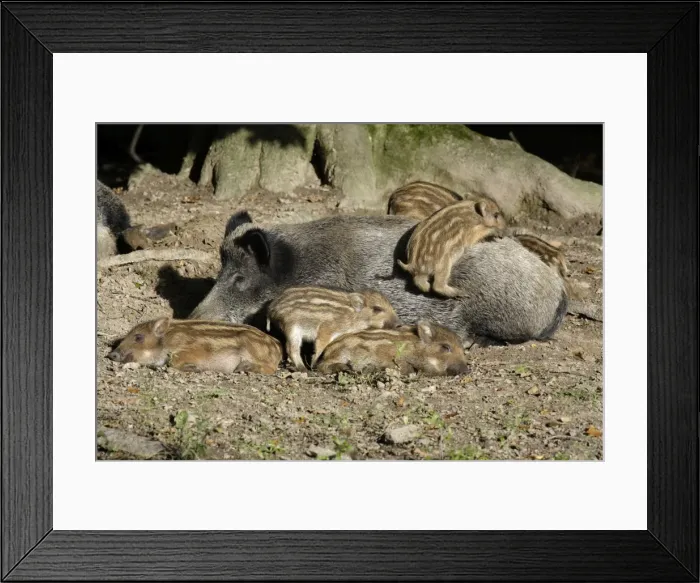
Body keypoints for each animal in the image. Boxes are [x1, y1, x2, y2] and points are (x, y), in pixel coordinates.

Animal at [107, 317, 283, 374]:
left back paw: (243, 368)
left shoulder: (191, 349)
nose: (111, 354)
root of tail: (277, 345)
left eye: (138, 337)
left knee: (271, 369)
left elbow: (175, 361)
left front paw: (195, 369)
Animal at [266, 286, 400, 370]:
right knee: (291, 349)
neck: (353, 316)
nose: (398, 324)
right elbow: (320, 347)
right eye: (377, 309)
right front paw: (314, 365)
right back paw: (304, 369)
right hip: (292, 328)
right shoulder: (326, 329)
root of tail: (272, 308)